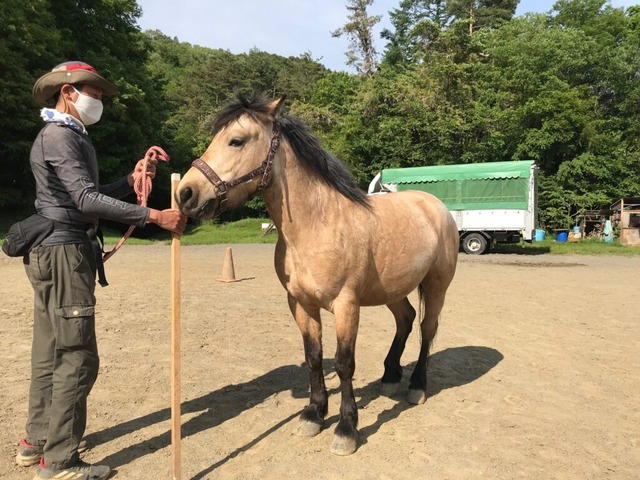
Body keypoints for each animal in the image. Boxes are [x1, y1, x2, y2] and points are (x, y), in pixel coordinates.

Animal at [175, 94, 459, 456]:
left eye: (236, 140)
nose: (185, 194)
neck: (316, 225)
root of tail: (435, 205)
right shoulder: (300, 304)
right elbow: (314, 357)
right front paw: (314, 414)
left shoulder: (346, 306)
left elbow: (343, 363)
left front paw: (346, 429)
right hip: (392, 290)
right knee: (406, 319)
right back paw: (390, 377)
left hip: (436, 286)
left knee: (426, 328)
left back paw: (417, 386)